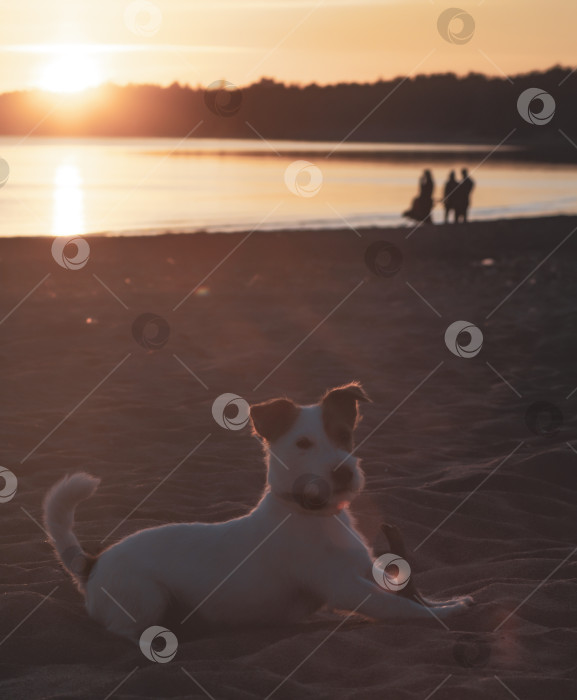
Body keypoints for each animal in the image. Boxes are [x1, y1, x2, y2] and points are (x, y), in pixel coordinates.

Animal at [44, 386, 468, 644]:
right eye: (303, 443)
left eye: (344, 434)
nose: (344, 472)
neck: (311, 514)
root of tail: (92, 563)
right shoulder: (344, 586)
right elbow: (399, 606)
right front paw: (441, 616)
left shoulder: (362, 572)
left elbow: (409, 593)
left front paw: (448, 603)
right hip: (145, 597)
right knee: (123, 630)